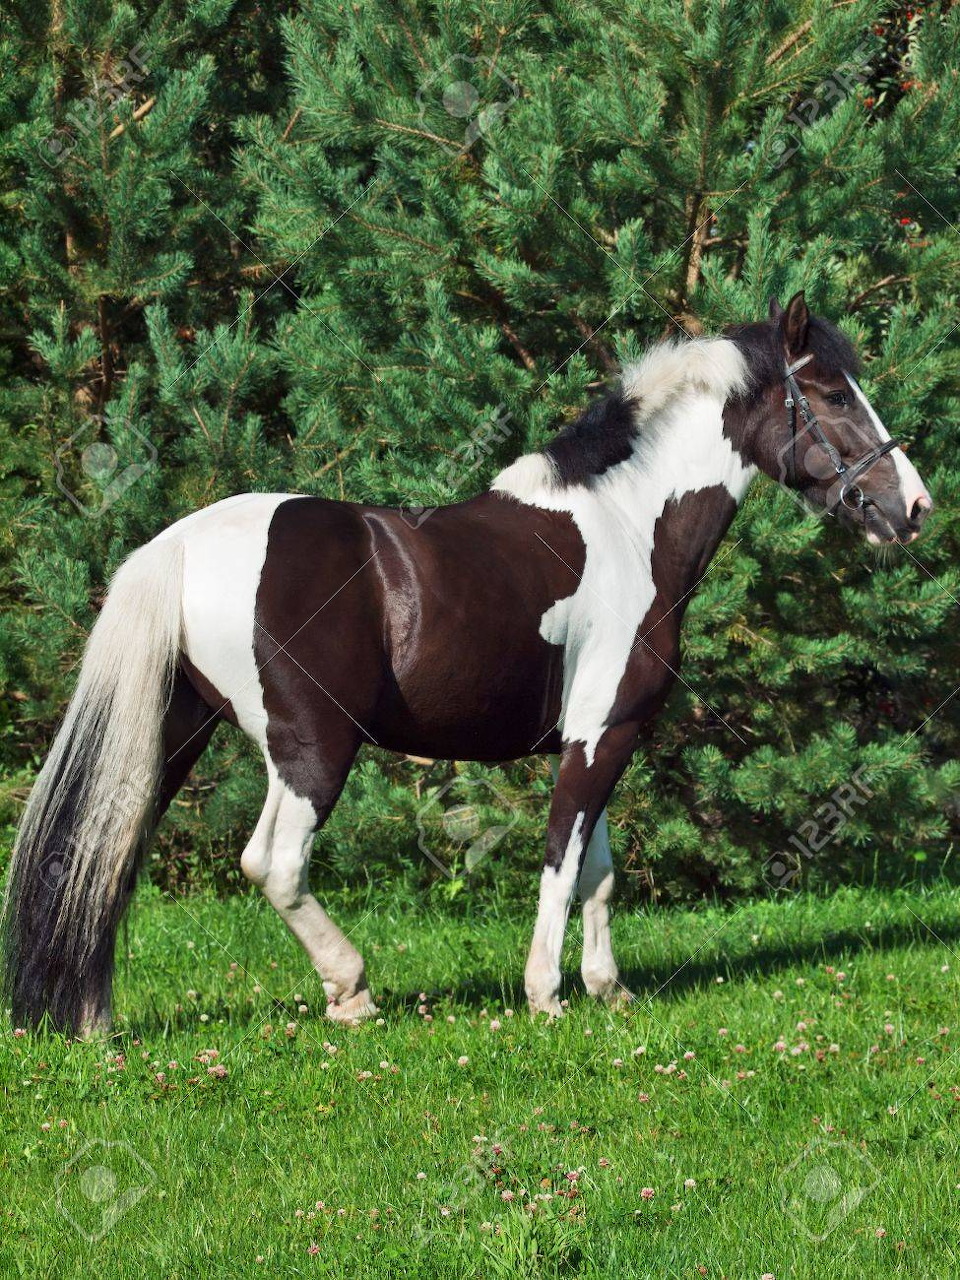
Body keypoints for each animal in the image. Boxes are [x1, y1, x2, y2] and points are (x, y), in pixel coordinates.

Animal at [2, 292, 933, 1034]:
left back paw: (92, 1017)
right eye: (830, 394)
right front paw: (546, 994)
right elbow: (562, 860)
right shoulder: (604, 734)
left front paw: (607, 988)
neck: (629, 528)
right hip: (311, 749)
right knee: (273, 864)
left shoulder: (596, 737)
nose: (914, 508)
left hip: (175, 736)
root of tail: (180, 543)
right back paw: (353, 992)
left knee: (103, 858)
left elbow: (598, 870)